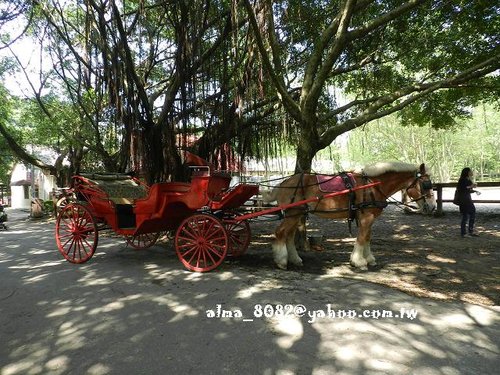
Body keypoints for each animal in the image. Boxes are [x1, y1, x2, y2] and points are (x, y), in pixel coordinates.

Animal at [266, 162, 434, 270]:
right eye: (425, 185)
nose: (432, 207)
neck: (372, 185)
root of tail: (283, 183)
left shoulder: (368, 218)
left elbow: (367, 237)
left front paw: (369, 259)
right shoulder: (366, 217)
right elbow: (362, 238)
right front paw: (359, 262)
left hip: (297, 214)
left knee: (288, 236)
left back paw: (294, 259)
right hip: (293, 214)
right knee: (280, 233)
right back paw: (281, 261)